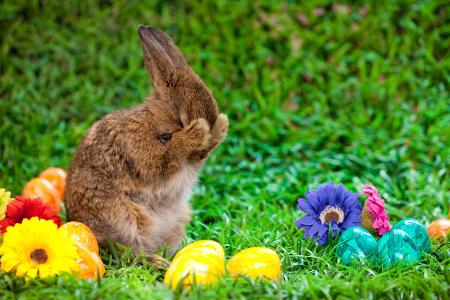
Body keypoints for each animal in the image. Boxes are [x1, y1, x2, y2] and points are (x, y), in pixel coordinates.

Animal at [64, 25, 229, 258]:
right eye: (179, 115)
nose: (208, 125)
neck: (154, 123)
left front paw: (221, 126)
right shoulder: (143, 155)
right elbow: (167, 158)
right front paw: (196, 132)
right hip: (124, 220)